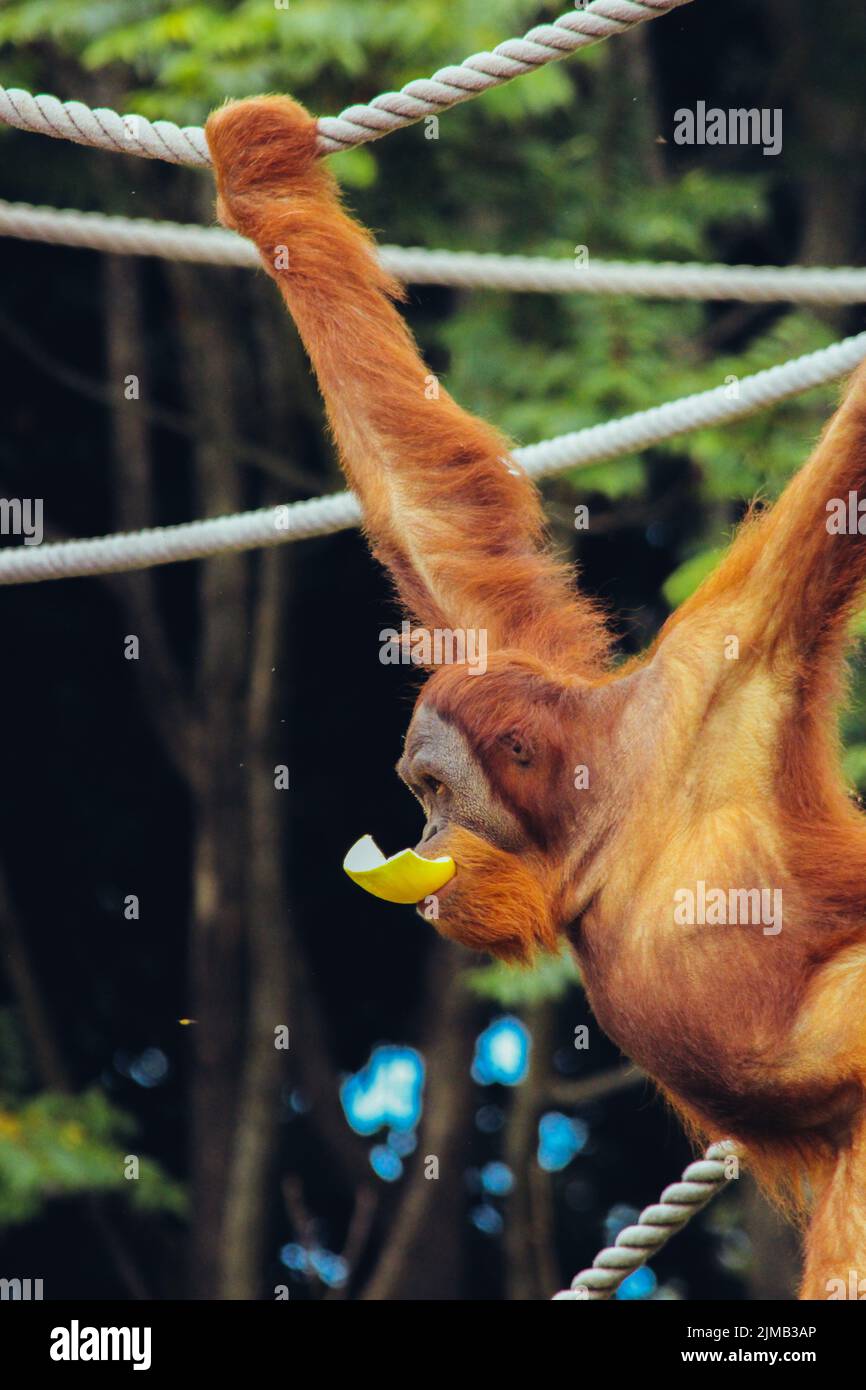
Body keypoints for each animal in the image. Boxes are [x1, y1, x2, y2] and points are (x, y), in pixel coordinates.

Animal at [206, 95, 866, 1298]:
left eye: (431, 788)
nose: (419, 831)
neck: (609, 805)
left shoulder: (734, 660)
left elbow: (839, 479)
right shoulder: (538, 654)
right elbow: (433, 518)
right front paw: (260, 173)